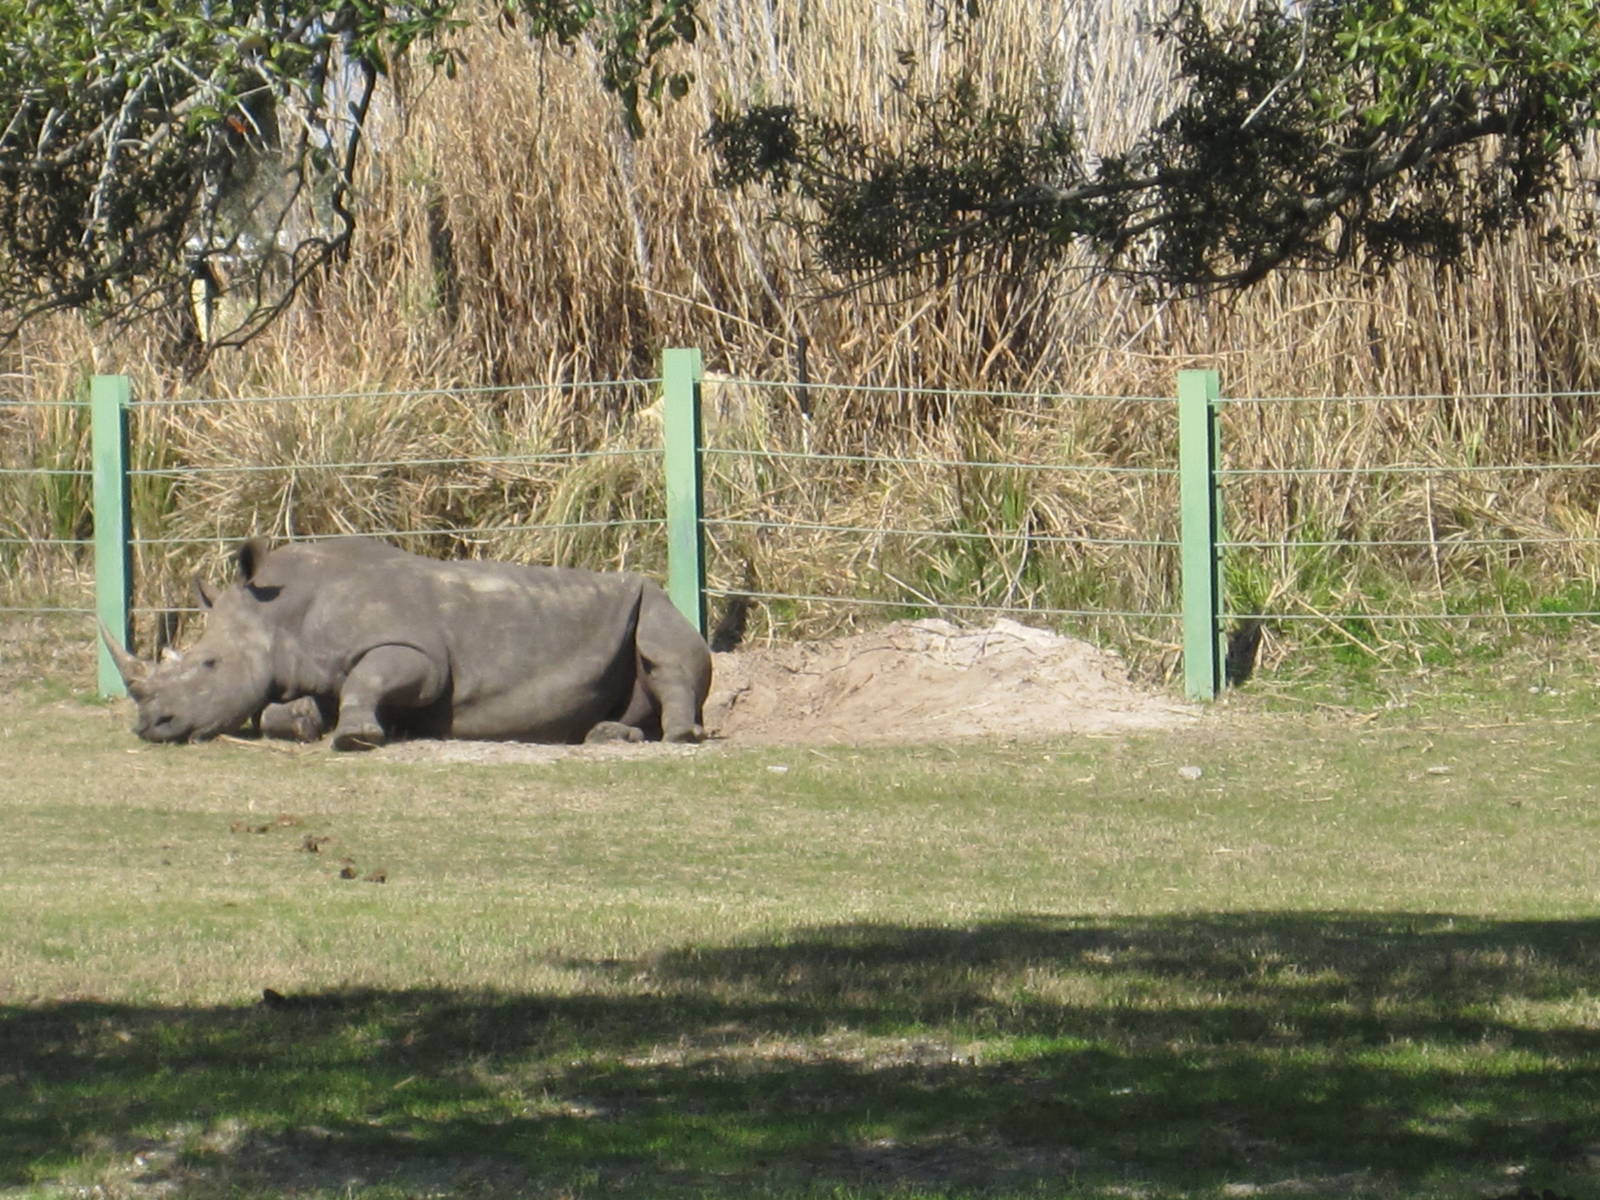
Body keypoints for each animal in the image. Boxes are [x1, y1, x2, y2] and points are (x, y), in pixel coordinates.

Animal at [101, 536, 712, 750]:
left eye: (208, 664)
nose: (149, 726)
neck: (280, 612)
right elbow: (281, 710)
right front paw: (302, 725)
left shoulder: (416, 654)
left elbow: (371, 678)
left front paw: (357, 737)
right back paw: (609, 735)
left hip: (654, 599)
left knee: (668, 651)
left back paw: (679, 736)